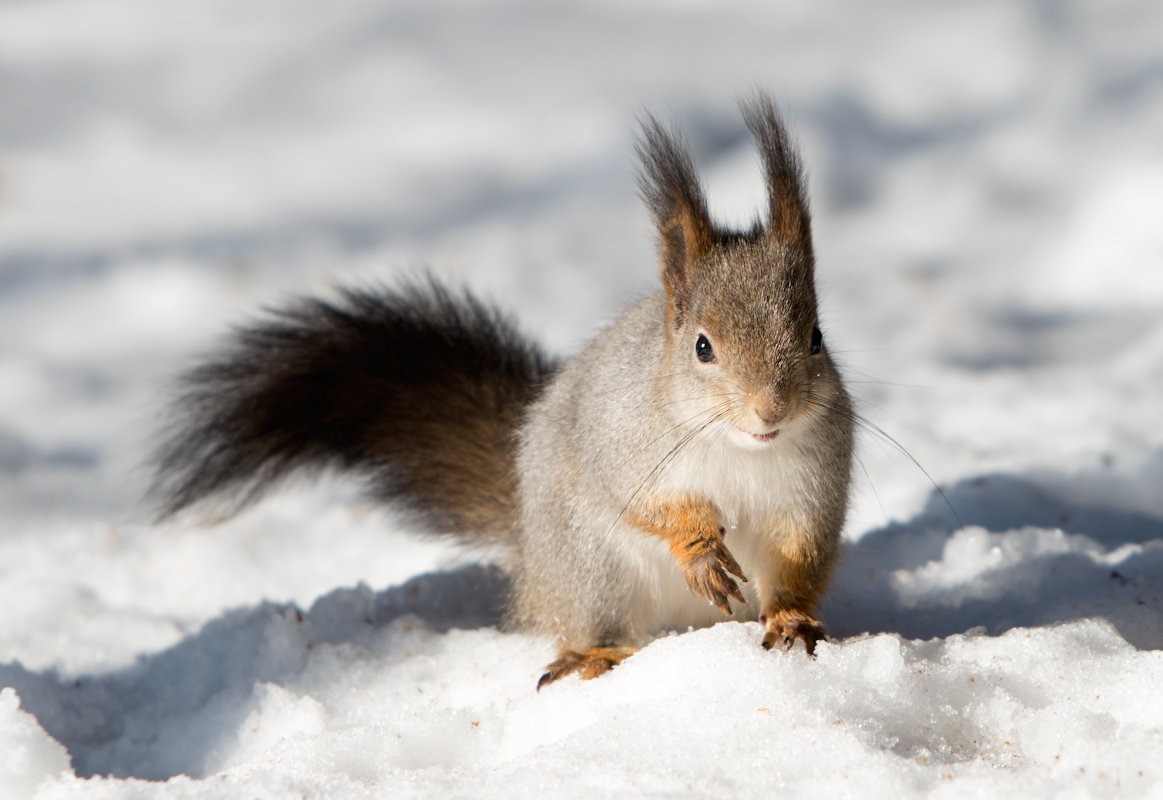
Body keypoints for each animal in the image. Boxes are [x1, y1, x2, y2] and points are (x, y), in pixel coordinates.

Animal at [150, 93, 855, 688]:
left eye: (816, 337)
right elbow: (649, 506)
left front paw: (791, 620)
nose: (770, 410)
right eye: (703, 347)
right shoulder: (624, 442)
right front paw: (701, 548)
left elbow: (797, 555)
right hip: (587, 565)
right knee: (594, 619)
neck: (743, 450)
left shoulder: (810, 486)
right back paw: (597, 655)